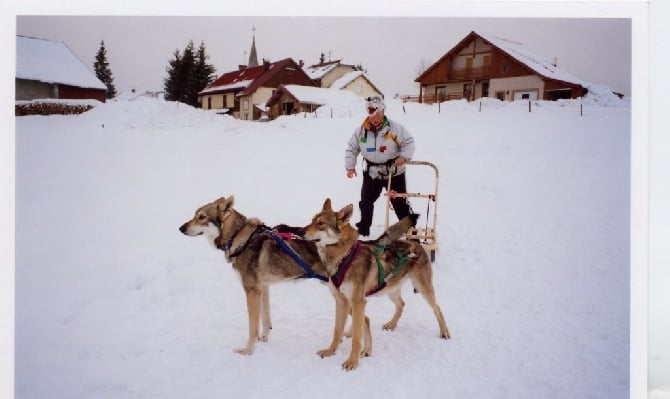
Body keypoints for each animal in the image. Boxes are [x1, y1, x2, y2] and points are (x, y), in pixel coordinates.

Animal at [304, 200, 452, 372]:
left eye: (320, 223)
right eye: (312, 220)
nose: (301, 231)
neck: (343, 257)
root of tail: (416, 243)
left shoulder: (357, 302)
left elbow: (357, 338)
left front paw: (352, 362)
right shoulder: (341, 301)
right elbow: (337, 331)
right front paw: (330, 351)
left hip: (423, 288)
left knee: (437, 309)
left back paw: (444, 332)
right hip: (390, 289)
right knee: (401, 304)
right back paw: (391, 324)